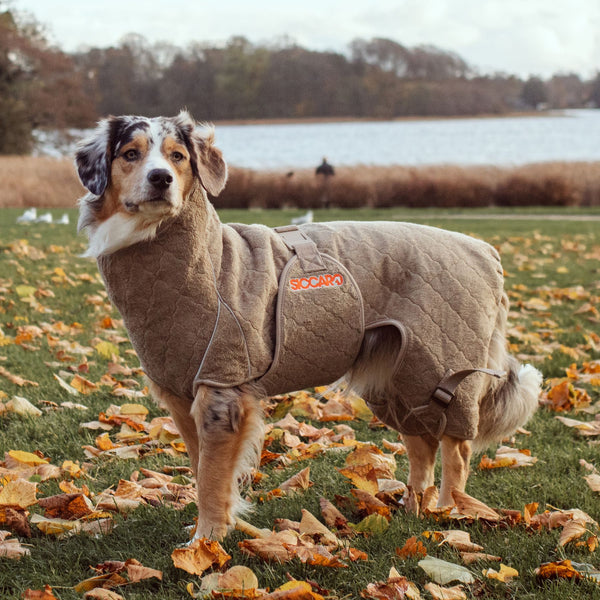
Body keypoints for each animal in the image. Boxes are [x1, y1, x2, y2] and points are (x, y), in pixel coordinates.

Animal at [74, 110, 540, 540]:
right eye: (131, 154)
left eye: (178, 156)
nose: (161, 179)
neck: (201, 261)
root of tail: (485, 250)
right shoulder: (181, 394)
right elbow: (200, 466)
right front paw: (211, 533)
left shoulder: (222, 391)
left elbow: (210, 479)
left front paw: (205, 543)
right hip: (401, 382)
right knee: (422, 442)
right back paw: (414, 508)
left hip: (442, 371)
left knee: (455, 450)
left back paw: (449, 515)